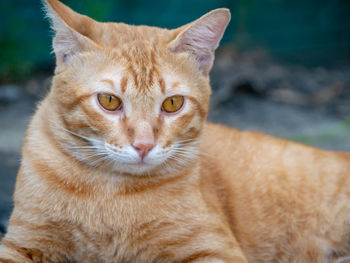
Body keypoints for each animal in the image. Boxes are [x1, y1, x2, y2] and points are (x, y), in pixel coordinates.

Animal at [0, 0, 350, 262]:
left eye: (172, 104)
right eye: (109, 101)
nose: (143, 145)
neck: (109, 192)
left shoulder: (215, 251)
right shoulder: (22, 241)